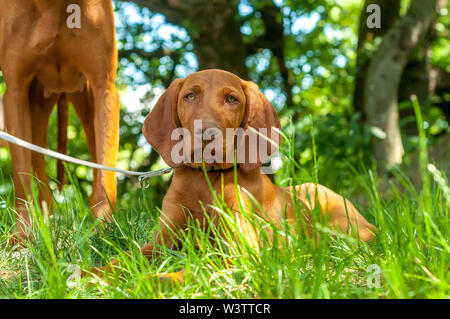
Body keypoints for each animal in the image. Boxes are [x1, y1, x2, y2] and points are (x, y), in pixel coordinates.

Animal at [0, 0, 119, 240]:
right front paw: (23, 236)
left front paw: (106, 231)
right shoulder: (16, 93)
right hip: (36, 108)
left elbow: (105, 174)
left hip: (86, 105)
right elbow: (21, 177)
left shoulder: (104, 88)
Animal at [89, 69, 374, 282]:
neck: (206, 180)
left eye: (231, 99)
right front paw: (89, 275)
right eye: (189, 96)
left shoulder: (240, 252)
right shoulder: (161, 241)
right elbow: (121, 259)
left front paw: (153, 280)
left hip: (336, 218)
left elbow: (197, 269)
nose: (206, 133)